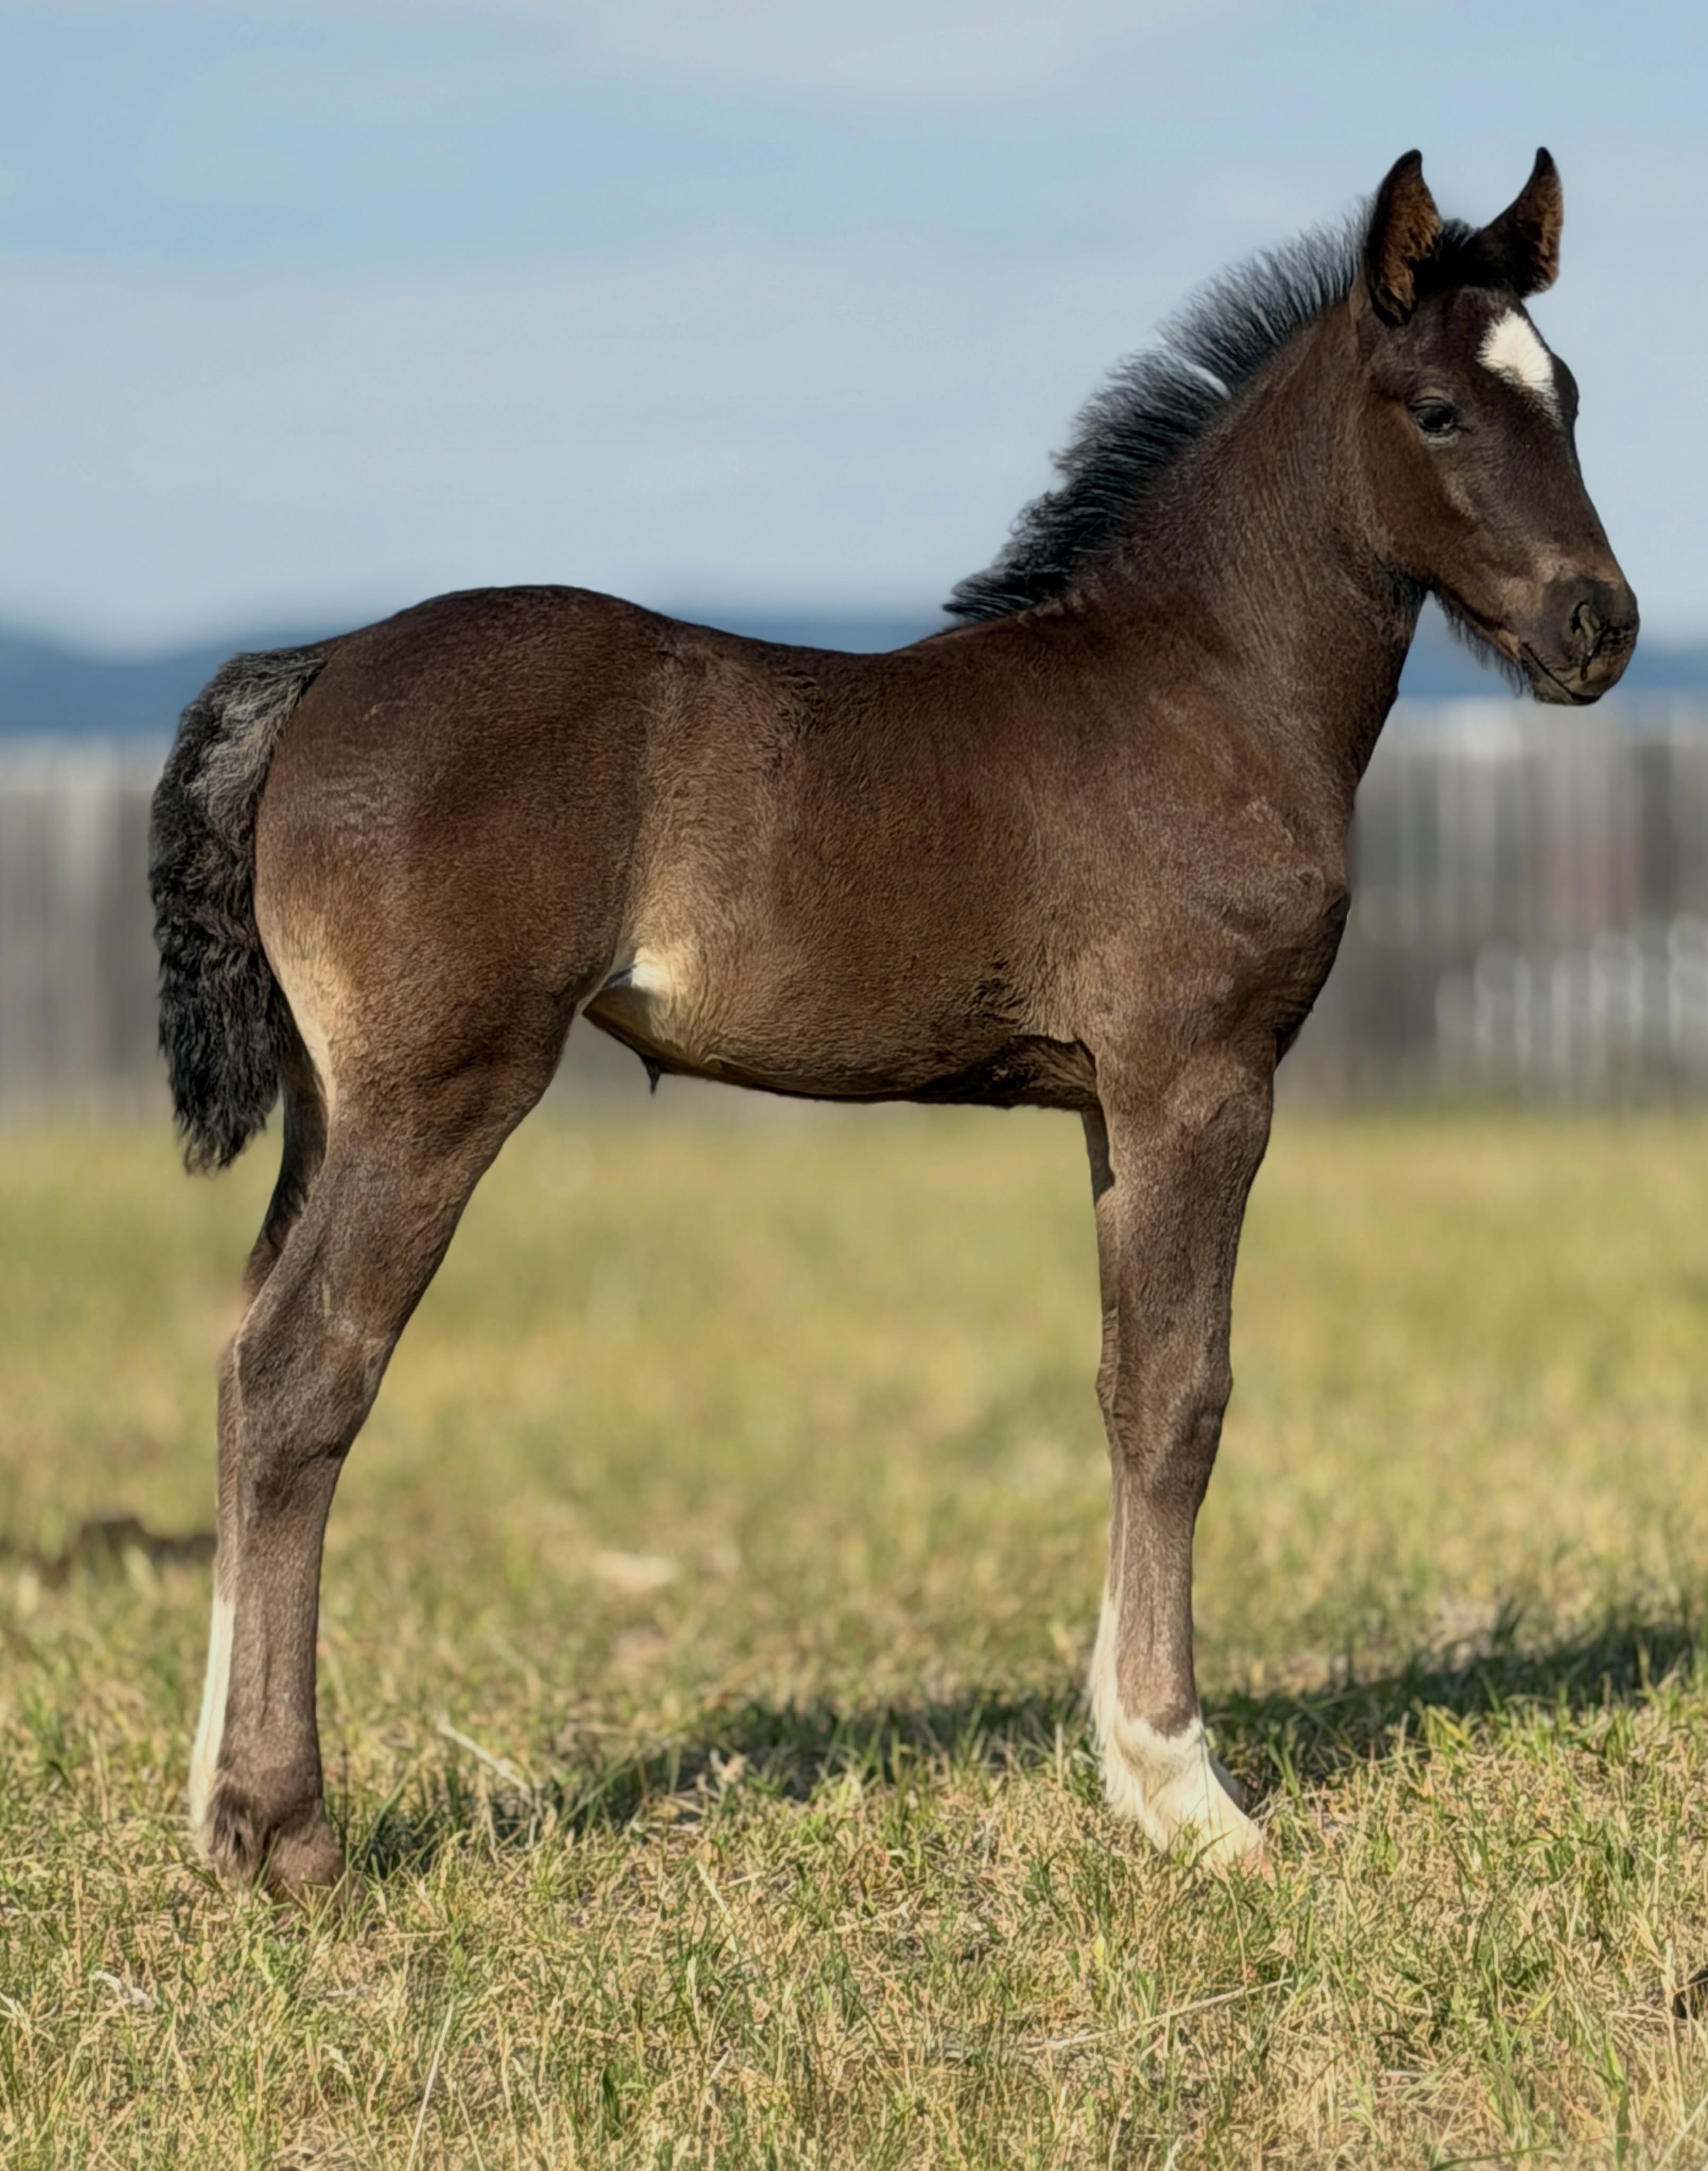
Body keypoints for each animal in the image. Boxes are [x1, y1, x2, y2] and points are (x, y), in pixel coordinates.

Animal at [150, 149, 1636, 1893]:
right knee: (303, 1372)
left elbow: (1122, 1386)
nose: (1599, 625)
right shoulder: (1201, 1083)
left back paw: (216, 1808)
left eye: (1571, 396)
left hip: (334, 1104)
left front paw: (1126, 1765)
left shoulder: (1113, 1108)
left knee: (241, 1355)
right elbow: (1184, 1400)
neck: (1198, 689)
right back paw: (284, 1829)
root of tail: (318, 667)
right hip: (435, 1094)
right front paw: (1190, 1788)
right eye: (1439, 411)